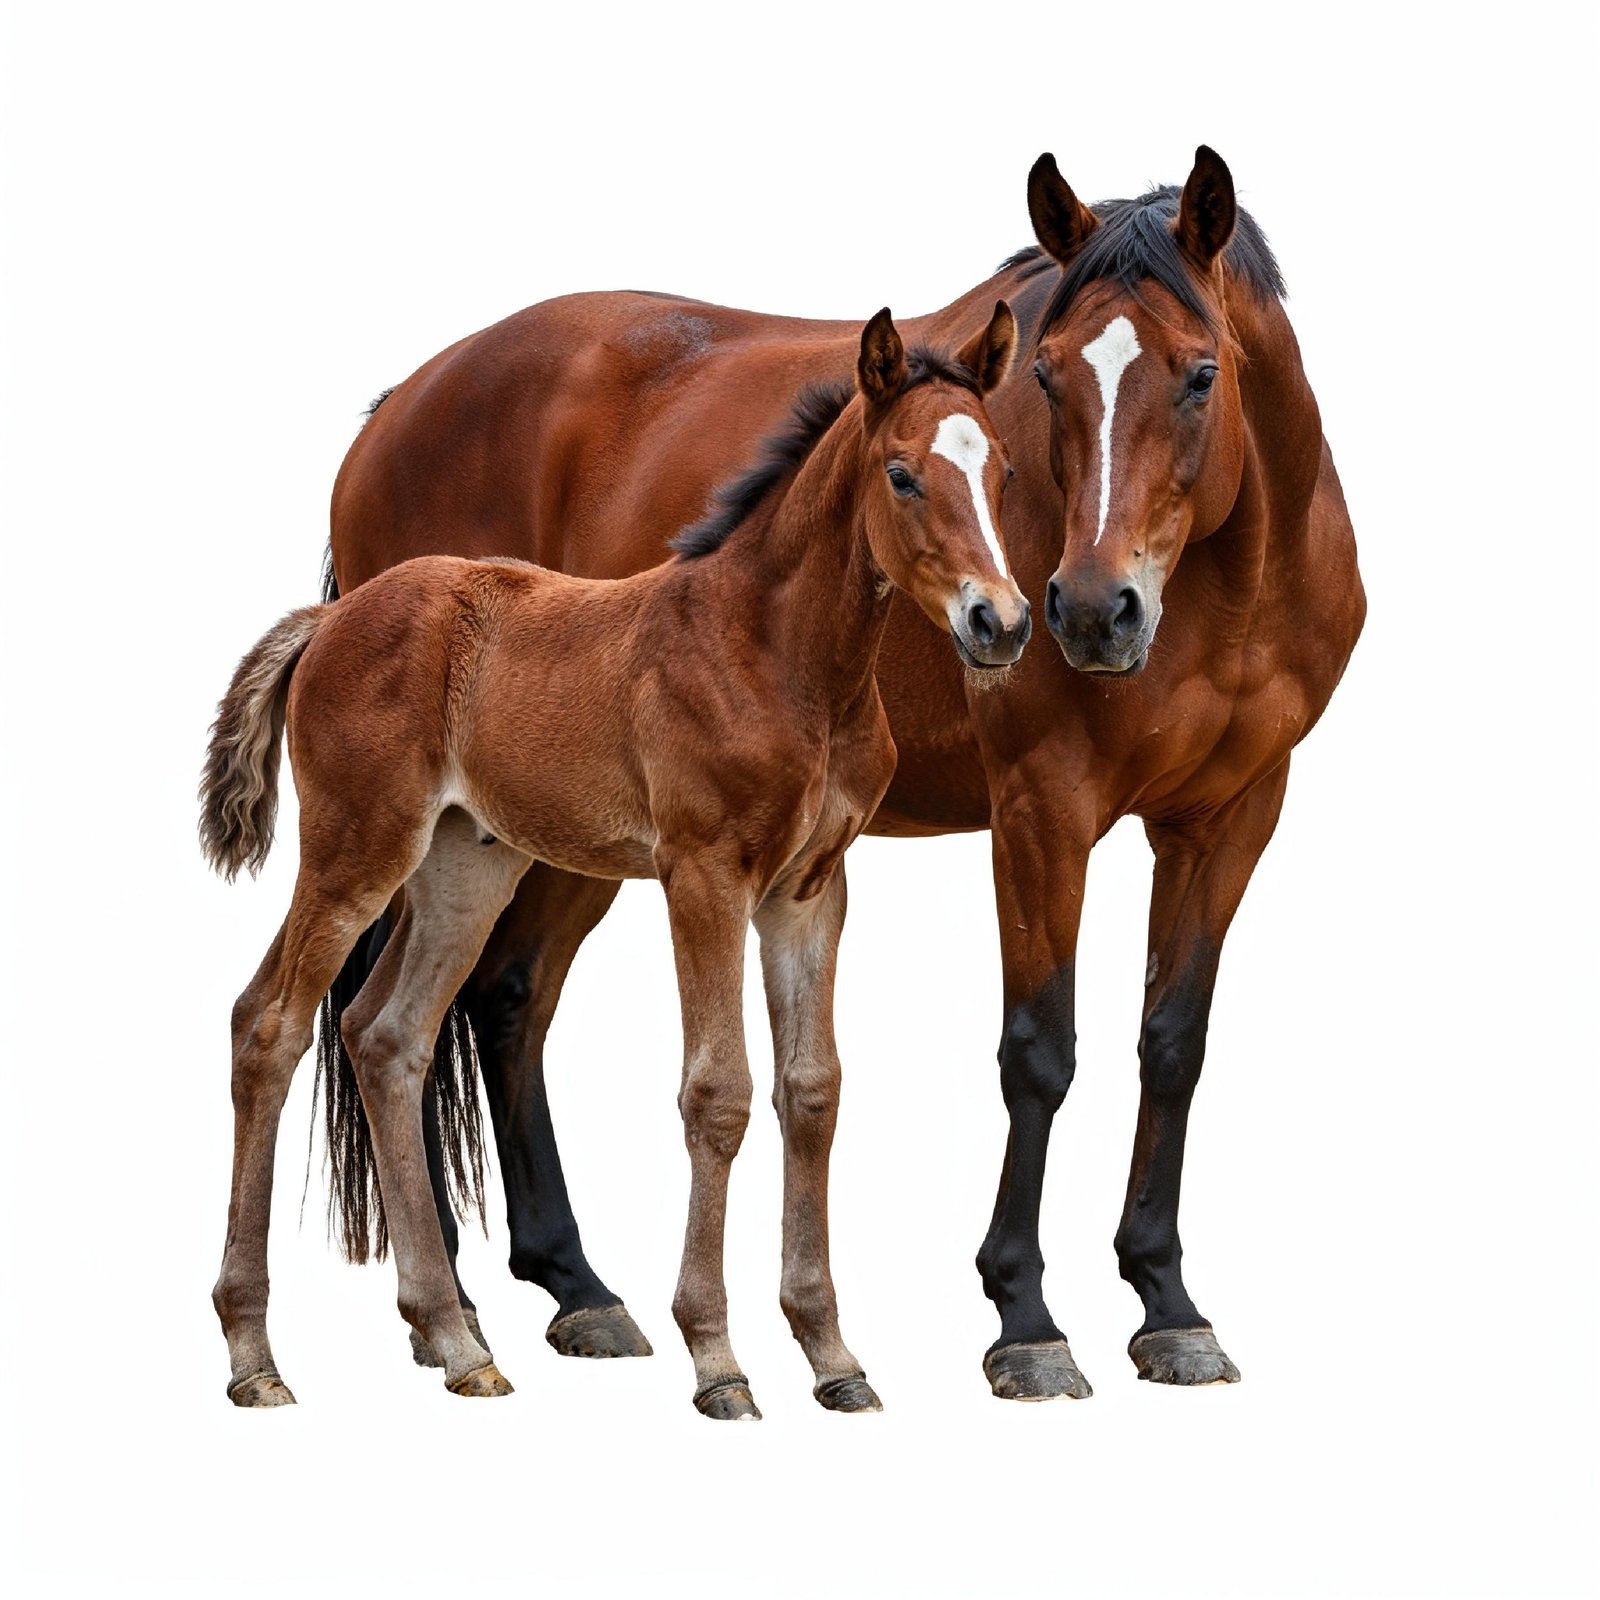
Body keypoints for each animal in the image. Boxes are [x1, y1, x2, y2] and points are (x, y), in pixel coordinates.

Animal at [202, 305, 1029, 1414]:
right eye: (902, 474)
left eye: (1005, 472)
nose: (1001, 622)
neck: (781, 654)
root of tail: (333, 616)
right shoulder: (703, 873)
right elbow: (717, 1092)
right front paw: (717, 1358)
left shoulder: (811, 888)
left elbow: (812, 1090)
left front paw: (832, 1355)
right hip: (355, 848)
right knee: (271, 1025)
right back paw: (254, 1353)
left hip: (467, 864)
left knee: (386, 1035)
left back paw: (456, 1341)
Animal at [325, 146, 1365, 1399]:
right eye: (1052, 375)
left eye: (1201, 371)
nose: (1086, 610)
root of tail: (399, 403)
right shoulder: (1042, 808)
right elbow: (1039, 1051)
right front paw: (1026, 1320)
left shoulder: (1230, 815)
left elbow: (1172, 1044)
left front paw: (1166, 1303)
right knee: (435, 1013)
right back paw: (466, 1304)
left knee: (503, 996)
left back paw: (572, 1286)